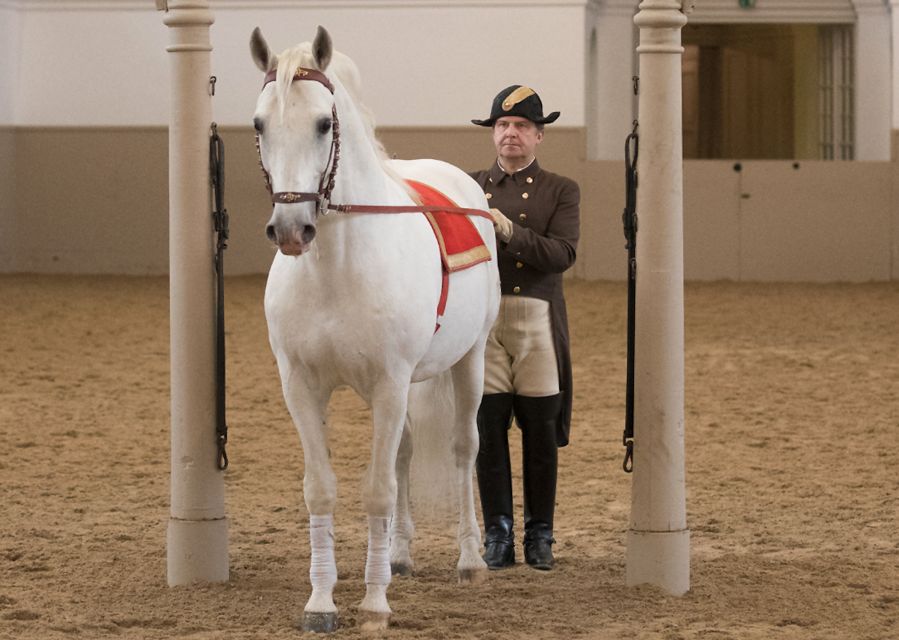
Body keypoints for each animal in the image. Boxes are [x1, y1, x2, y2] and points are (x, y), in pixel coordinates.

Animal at [250, 26, 500, 636]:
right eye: (259, 124)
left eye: (324, 123)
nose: (291, 229)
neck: (335, 270)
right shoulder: (302, 388)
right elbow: (322, 491)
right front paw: (321, 601)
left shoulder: (389, 385)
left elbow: (378, 492)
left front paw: (374, 604)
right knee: (406, 452)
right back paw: (401, 556)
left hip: (470, 360)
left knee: (463, 448)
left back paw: (470, 560)